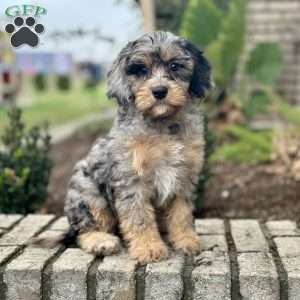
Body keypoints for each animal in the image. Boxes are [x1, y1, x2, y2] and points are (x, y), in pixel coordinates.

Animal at [58, 30, 212, 262]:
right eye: (141, 70)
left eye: (174, 65)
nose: (159, 91)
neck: (162, 124)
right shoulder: (131, 179)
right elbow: (139, 217)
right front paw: (149, 247)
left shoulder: (183, 178)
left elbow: (182, 213)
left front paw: (186, 240)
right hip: (89, 194)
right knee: (83, 229)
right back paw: (101, 242)